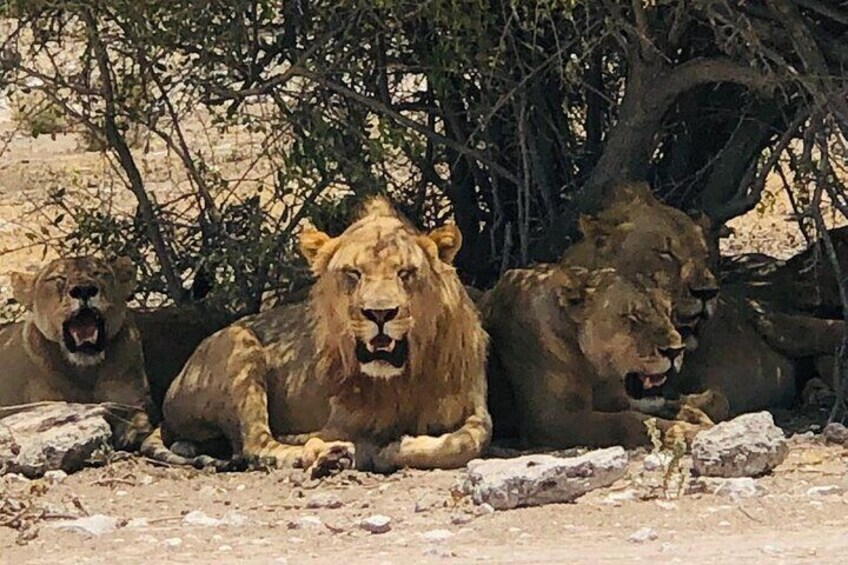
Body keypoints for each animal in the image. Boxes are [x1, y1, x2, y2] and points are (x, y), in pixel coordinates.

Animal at [0, 256, 154, 450]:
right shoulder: (44, 405)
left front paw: (129, 433)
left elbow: (139, 417)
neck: (85, 370)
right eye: (59, 278)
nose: (84, 290)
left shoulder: (133, 398)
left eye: (97, 273)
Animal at [142, 197, 490, 472]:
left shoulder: (475, 406)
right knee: (255, 445)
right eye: (354, 273)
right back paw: (321, 455)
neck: (402, 379)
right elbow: (351, 436)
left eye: (405, 273)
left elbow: (467, 443)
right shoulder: (340, 420)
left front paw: (394, 448)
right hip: (241, 347)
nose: (379, 314)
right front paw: (371, 449)